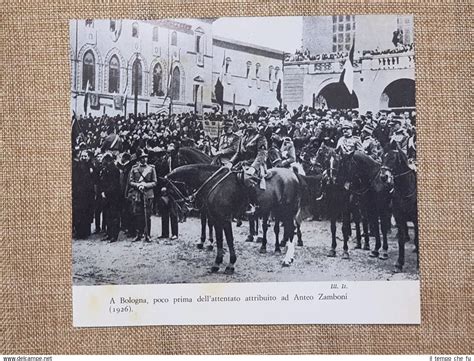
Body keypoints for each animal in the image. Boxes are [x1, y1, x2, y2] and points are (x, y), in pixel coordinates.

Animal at [165, 162, 302, 270]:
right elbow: (220, 239)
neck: (214, 182)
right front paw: (217, 263)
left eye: (171, 190)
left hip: (287, 211)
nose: (184, 209)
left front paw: (230, 264)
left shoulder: (225, 219)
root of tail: (292, 175)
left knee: (291, 230)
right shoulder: (216, 219)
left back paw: (287, 258)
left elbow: (229, 240)